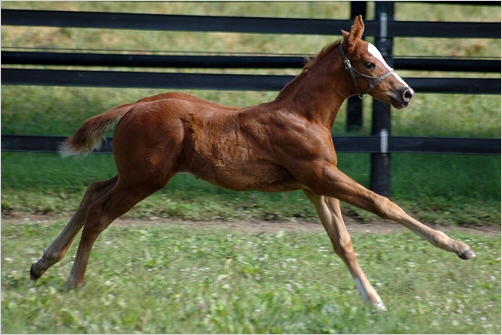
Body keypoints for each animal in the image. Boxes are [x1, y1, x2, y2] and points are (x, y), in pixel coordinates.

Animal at [31, 15, 474, 310]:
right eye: (369, 63)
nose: (406, 93)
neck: (303, 116)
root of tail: (135, 105)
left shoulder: (315, 186)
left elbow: (343, 242)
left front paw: (375, 301)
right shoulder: (322, 175)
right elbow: (384, 204)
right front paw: (460, 247)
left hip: (135, 174)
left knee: (93, 191)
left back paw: (42, 264)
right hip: (145, 179)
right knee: (100, 213)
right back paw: (73, 282)